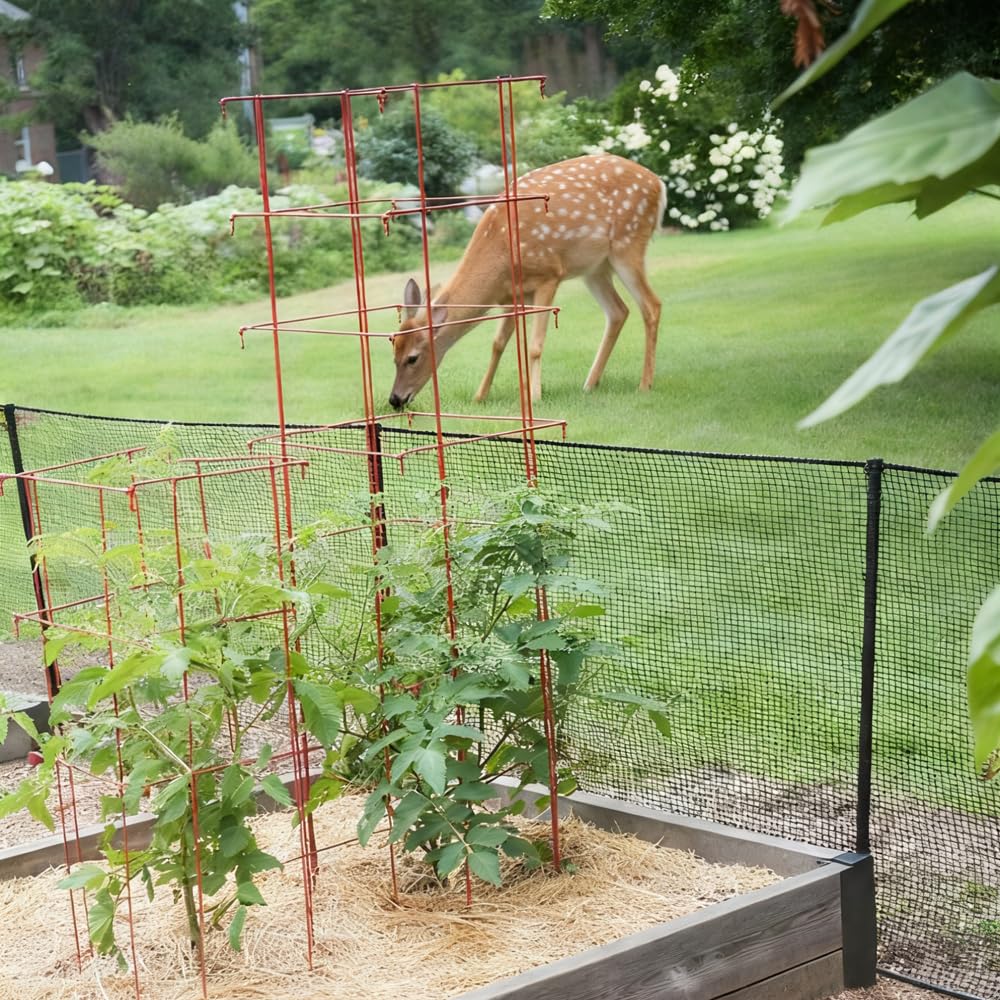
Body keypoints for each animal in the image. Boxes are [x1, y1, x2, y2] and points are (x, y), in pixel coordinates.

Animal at [388, 153, 666, 409]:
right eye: (394, 353)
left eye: (413, 357)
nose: (395, 399)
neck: (500, 255)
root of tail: (659, 183)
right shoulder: (510, 297)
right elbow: (498, 344)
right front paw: (480, 396)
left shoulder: (549, 275)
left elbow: (534, 345)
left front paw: (534, 396)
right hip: (595, 267)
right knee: (618, 311)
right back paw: (589, 384)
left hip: (628, 243)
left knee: (651, 305)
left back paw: (645, 384)